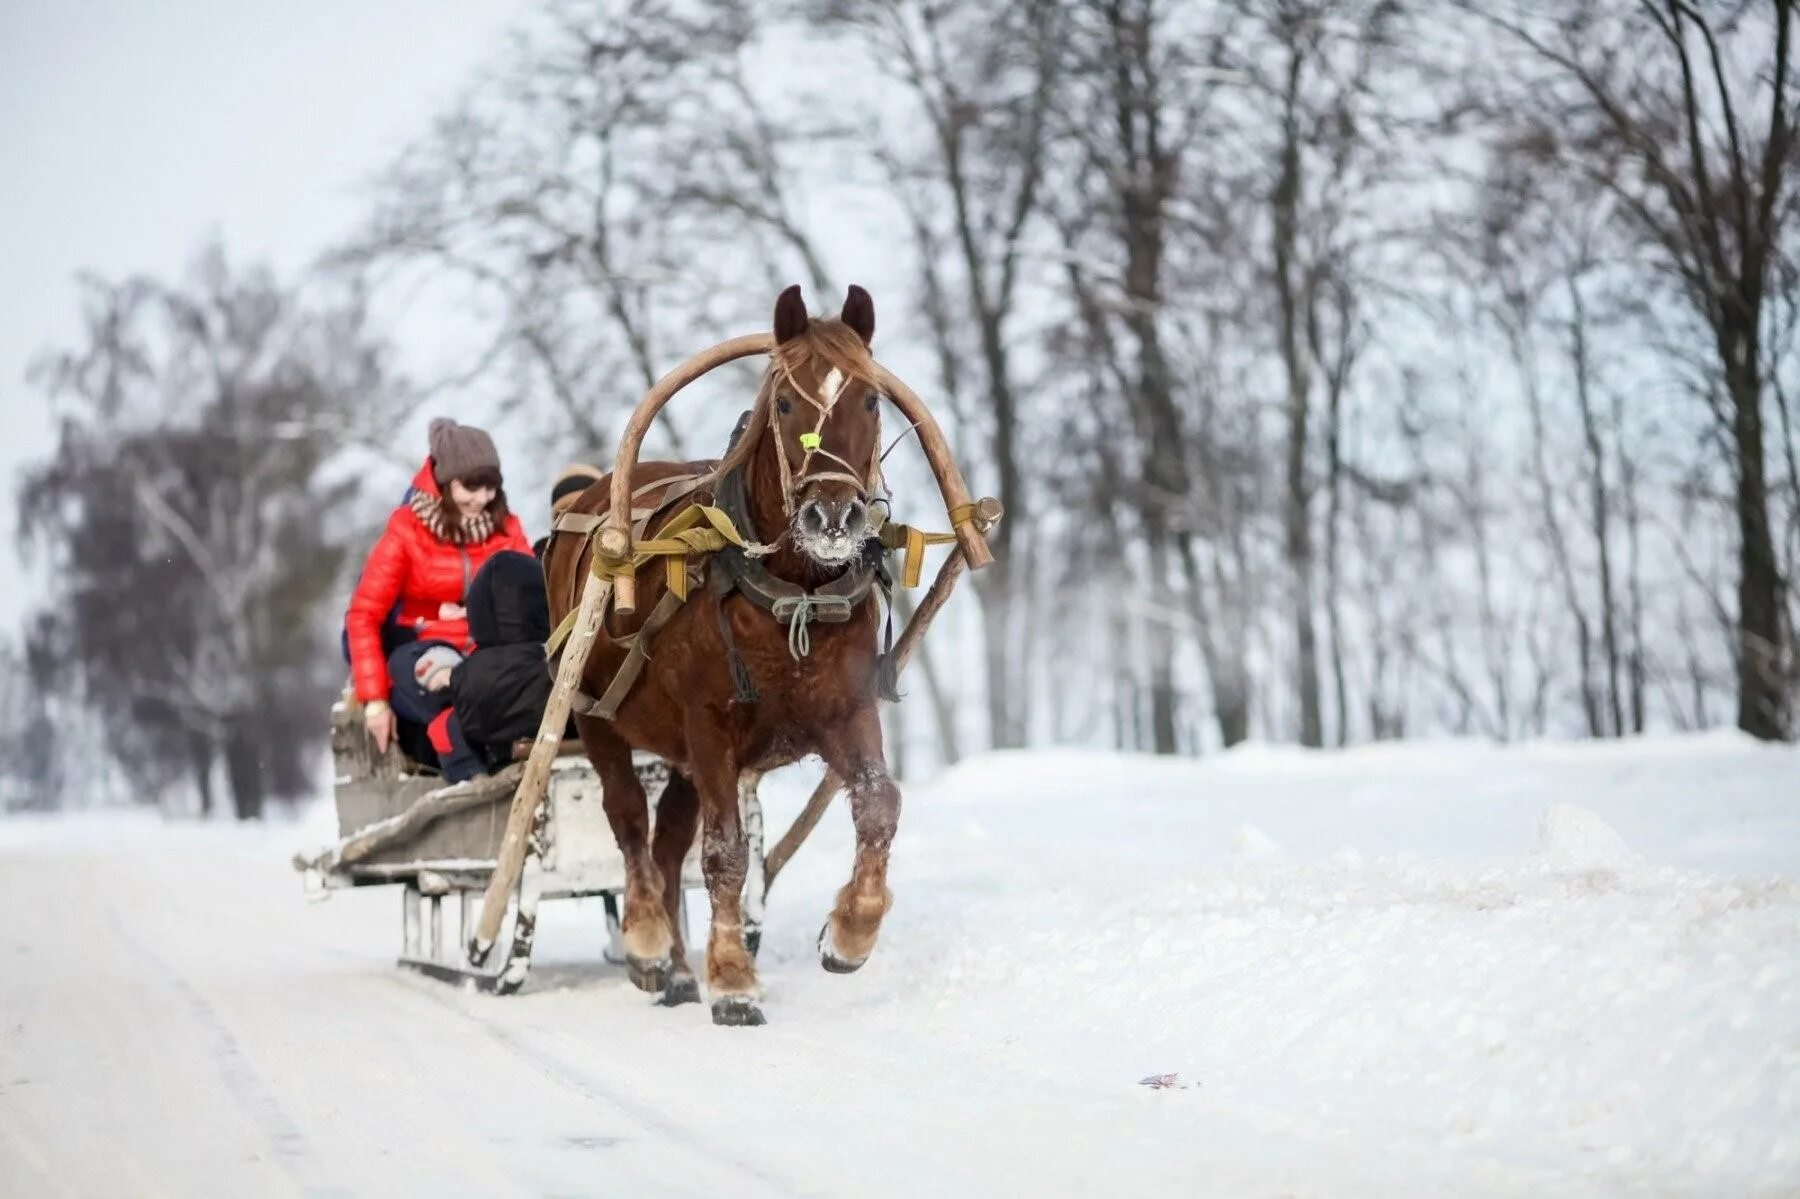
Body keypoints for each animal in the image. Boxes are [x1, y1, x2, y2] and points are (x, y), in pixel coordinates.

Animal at [536, 284, 896, 1022]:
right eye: (784, 402)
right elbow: (726, 849)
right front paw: (731, 978)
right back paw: (648, 940)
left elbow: (878, 802)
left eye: (872, 400)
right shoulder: (710, 724)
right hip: (594, 711)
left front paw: (851, 932)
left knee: (669, 843)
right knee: (628, 819)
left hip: (677, 751)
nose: (833, 517)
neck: (791, 596)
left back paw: (677, 967)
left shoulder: (844, 708)